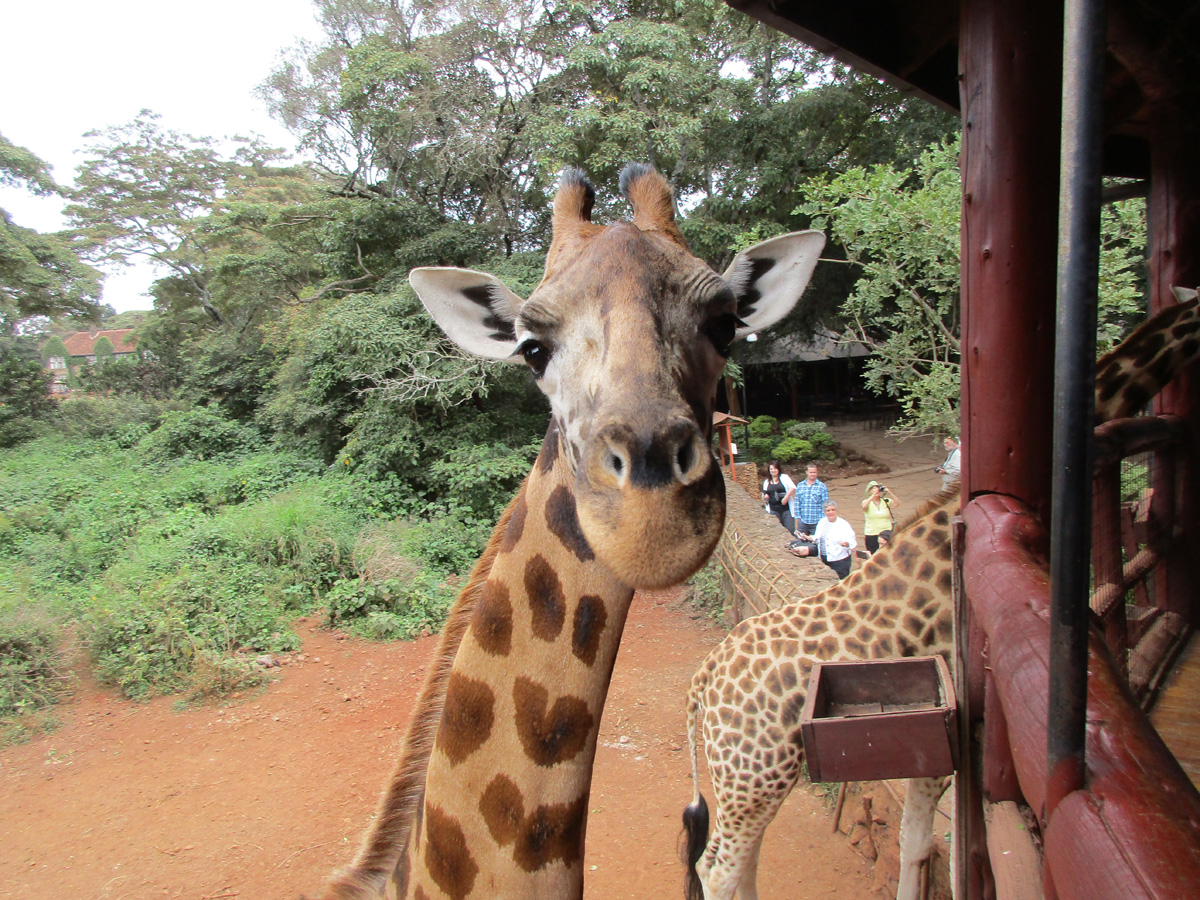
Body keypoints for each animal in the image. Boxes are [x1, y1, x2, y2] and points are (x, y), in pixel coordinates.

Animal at [681, 287, 1200, 900]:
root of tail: (701, 684)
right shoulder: (946, 731)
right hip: (753, 770)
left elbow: (917, 842)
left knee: (742, 862)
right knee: (716, 867)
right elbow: (937, 850)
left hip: (754, 776)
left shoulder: (934, 735)